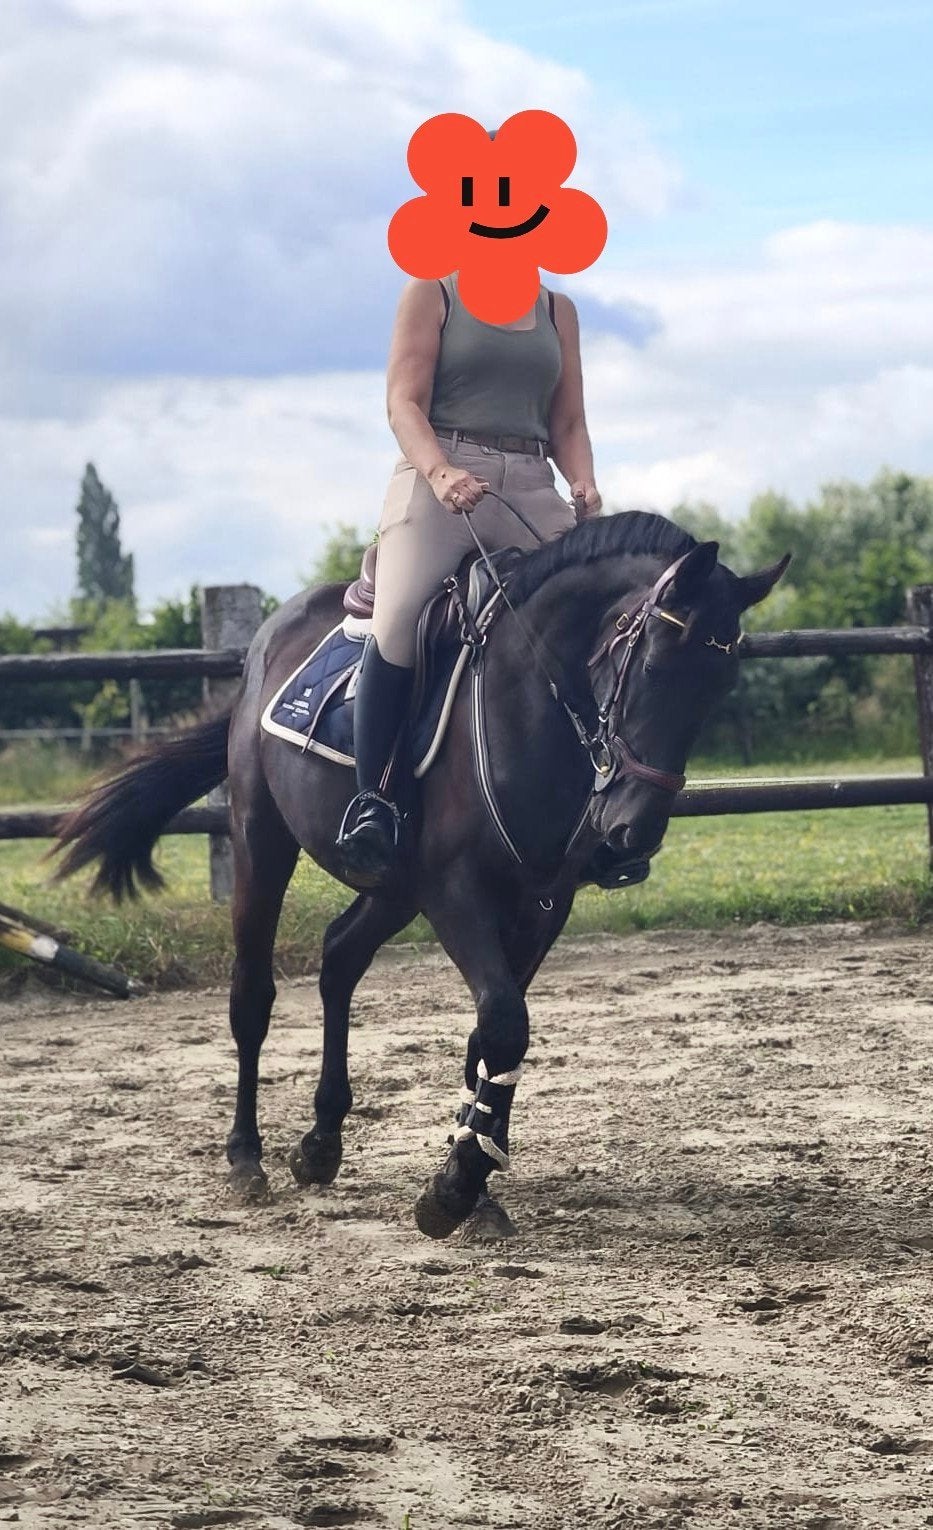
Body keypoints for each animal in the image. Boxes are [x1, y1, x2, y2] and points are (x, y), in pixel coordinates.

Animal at [53, 510, 788, 1239]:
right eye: (655, 665)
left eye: (721, 685)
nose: (631, 833)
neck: (531, 704)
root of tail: (271, 634)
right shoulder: (456, 893)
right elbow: (504, 1022)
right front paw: (454, 1189)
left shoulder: (543, 904)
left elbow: (491, 1035)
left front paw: (474, 1174)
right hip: (263, 842)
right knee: (253, 994)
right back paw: (245, 1158)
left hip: (393, 888)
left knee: (339, 958)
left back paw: (320, 1143)